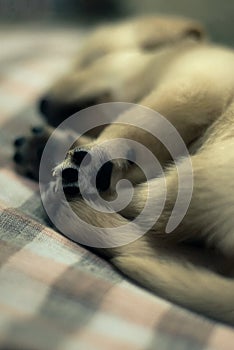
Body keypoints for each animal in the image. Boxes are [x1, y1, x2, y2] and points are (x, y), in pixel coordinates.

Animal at [13, 15, 234, 324]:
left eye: (93, 59)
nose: (42, 103)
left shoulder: (191, 87)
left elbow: (130, 125)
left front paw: (95, 156)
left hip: (205, 170)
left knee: (140, 210)